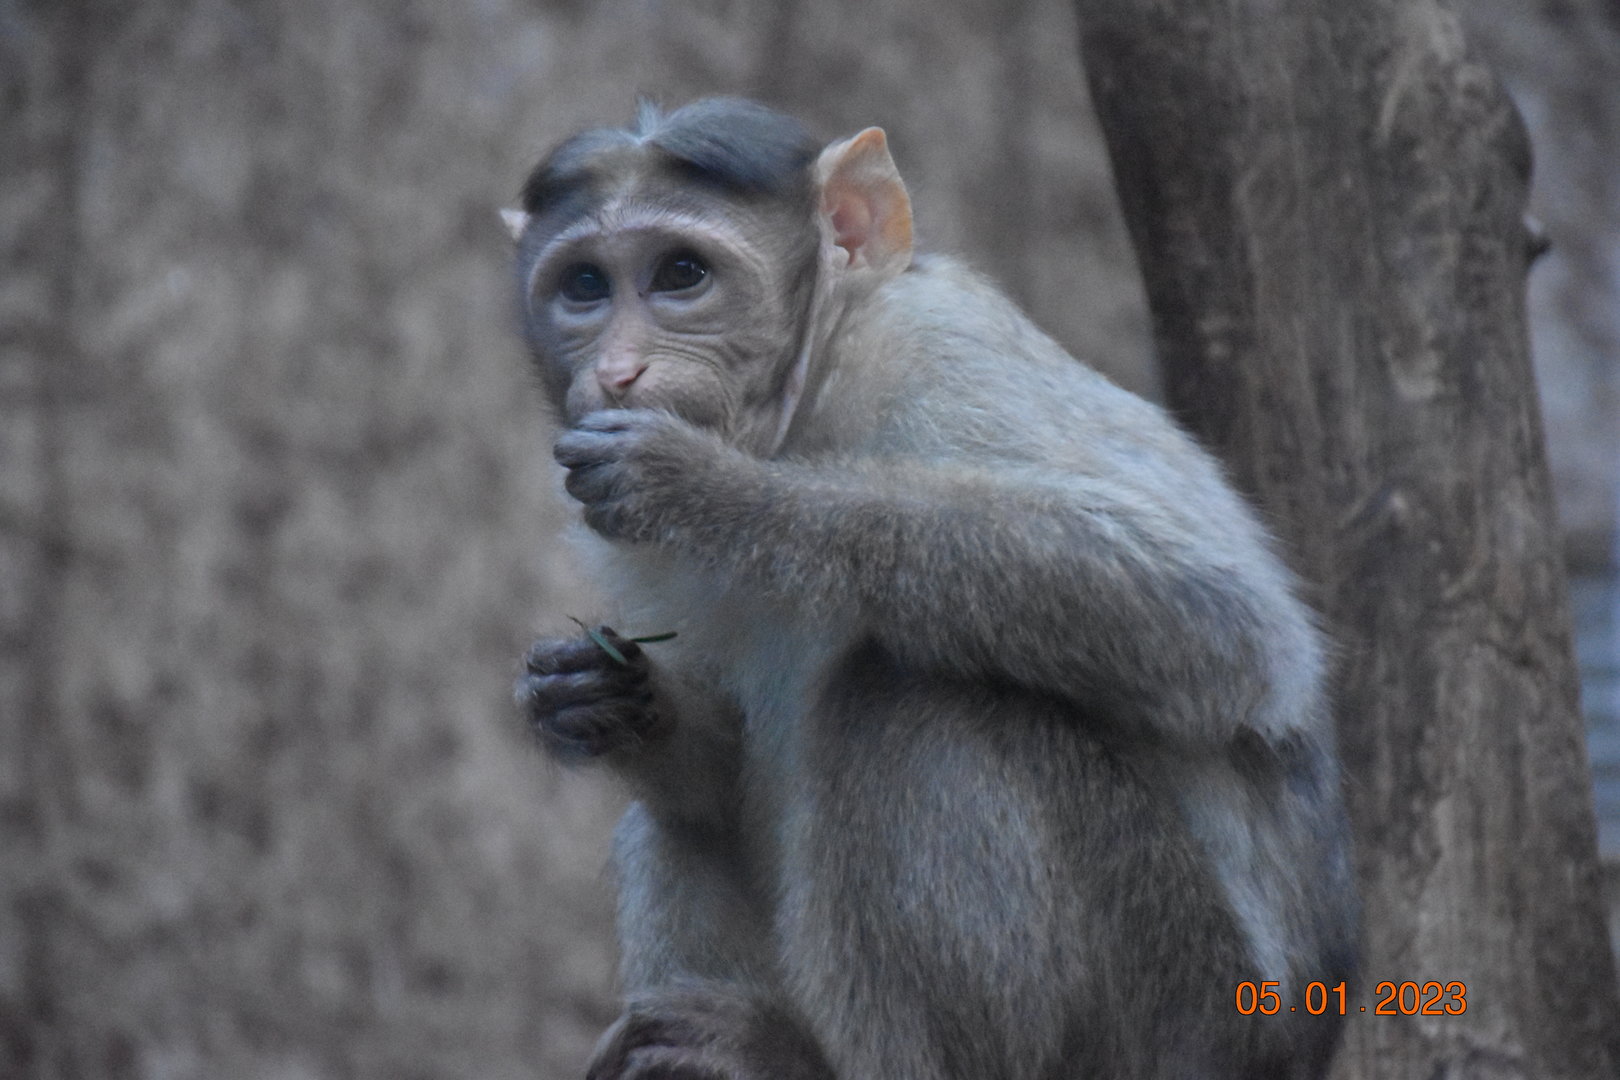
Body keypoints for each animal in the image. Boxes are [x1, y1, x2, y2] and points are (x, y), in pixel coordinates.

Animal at [506, 97, 1356, 1080]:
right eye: (585, 287)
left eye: (682, 274)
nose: (617, 372)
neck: (803, 409)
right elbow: (711, 782)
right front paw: (605, 699)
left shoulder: (937, 347)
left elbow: (1226, 627)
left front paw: (711, 491)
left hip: (1182, 1009)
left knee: (907, 700)